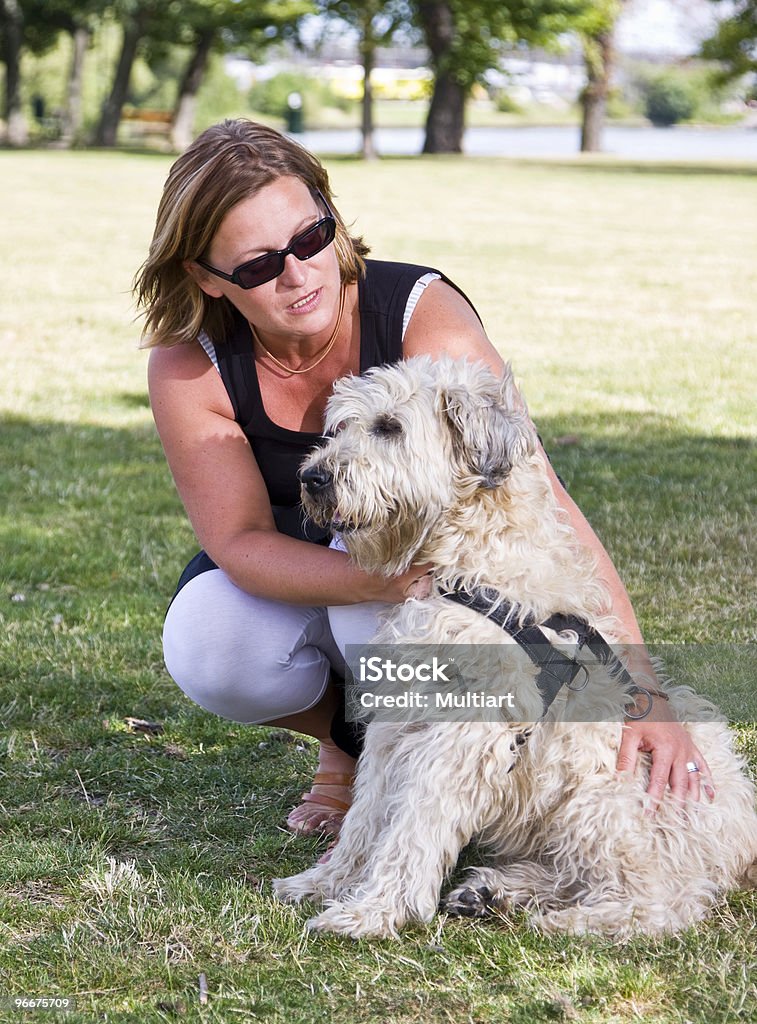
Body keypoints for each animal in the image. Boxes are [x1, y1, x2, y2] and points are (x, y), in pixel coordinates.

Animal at [272, 356, 757, 937]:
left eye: (389, 427)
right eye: (341, 426)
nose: (311, 478)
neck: (469, 564)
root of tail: (742, 837)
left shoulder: (460, 734)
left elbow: (413, 825)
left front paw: (372, 910)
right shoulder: (397, 722)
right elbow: (366, 814)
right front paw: (326, 882)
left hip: (601, 804)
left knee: (662, 901)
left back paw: (565, 921)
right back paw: (492, 892)